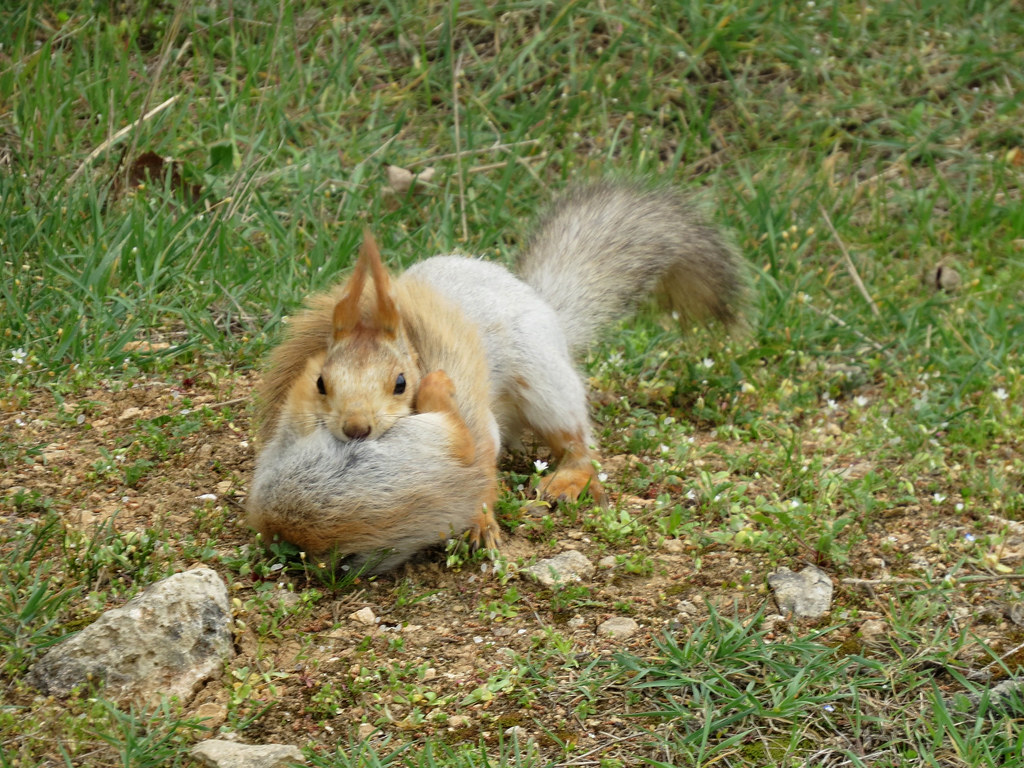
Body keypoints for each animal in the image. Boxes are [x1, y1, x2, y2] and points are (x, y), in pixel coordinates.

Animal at [247, 180, 746, 573]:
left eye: (400, 382)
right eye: (321, 383)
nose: (355, 429)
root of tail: (543, 305)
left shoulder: (469, 408)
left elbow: (483, 460)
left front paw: (482, 522)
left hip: (546, 386)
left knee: (579, 444)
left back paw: (567, 479)